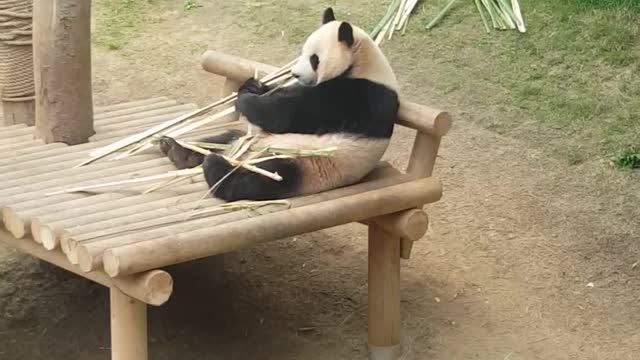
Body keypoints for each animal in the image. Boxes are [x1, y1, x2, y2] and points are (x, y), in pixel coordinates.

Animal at [159, 7, 400, 202]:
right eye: (303, 52)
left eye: (314, 59)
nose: (295, 74)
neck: (363, 64)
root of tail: (246, 155)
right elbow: (281, 95)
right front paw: (253, 86)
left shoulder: (355, 96)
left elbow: (286, 114)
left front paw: (245, 100)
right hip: (252, 139)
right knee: (223, 138)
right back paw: (177, 151)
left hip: (309, 162)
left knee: (265, 177)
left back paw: (215, 167)